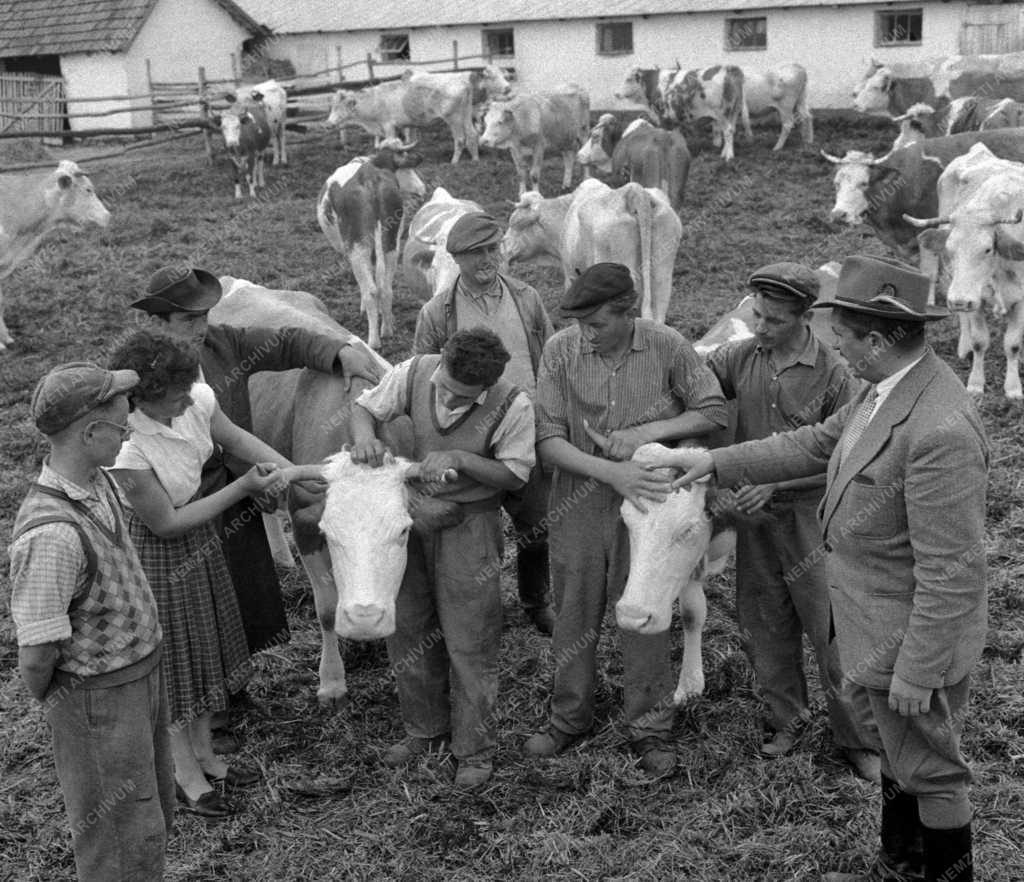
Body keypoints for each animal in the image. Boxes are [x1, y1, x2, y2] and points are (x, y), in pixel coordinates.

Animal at [313, 140, 421, 348]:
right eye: (408, 169)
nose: (422, 188)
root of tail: (370, 178)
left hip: (358, 246)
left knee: (371, 290)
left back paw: (374, 341)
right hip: (391, 244)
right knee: (385, 287)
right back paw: (387, 329)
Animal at [329, 69, 481, 163]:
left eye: (338, 107)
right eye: (333, 106)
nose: (328, 123)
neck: (375, 100)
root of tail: (463, 80)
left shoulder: (388, 126)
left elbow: (392, 142)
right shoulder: (405, 126)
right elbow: (407, 142)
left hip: (453, 118)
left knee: (460, 139)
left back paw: (454, 162)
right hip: (466, 114)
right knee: (472, 134)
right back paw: (475, 159)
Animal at [905, 142, 1024, 397]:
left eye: (988, 249)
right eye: (949, 248)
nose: (958, 300)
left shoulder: (1021, 300)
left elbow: (1013, 344)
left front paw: (1013, 388)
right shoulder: (974, 298)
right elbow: (980, 341)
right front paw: (976, 384)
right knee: (964, 319)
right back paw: (964, 346)